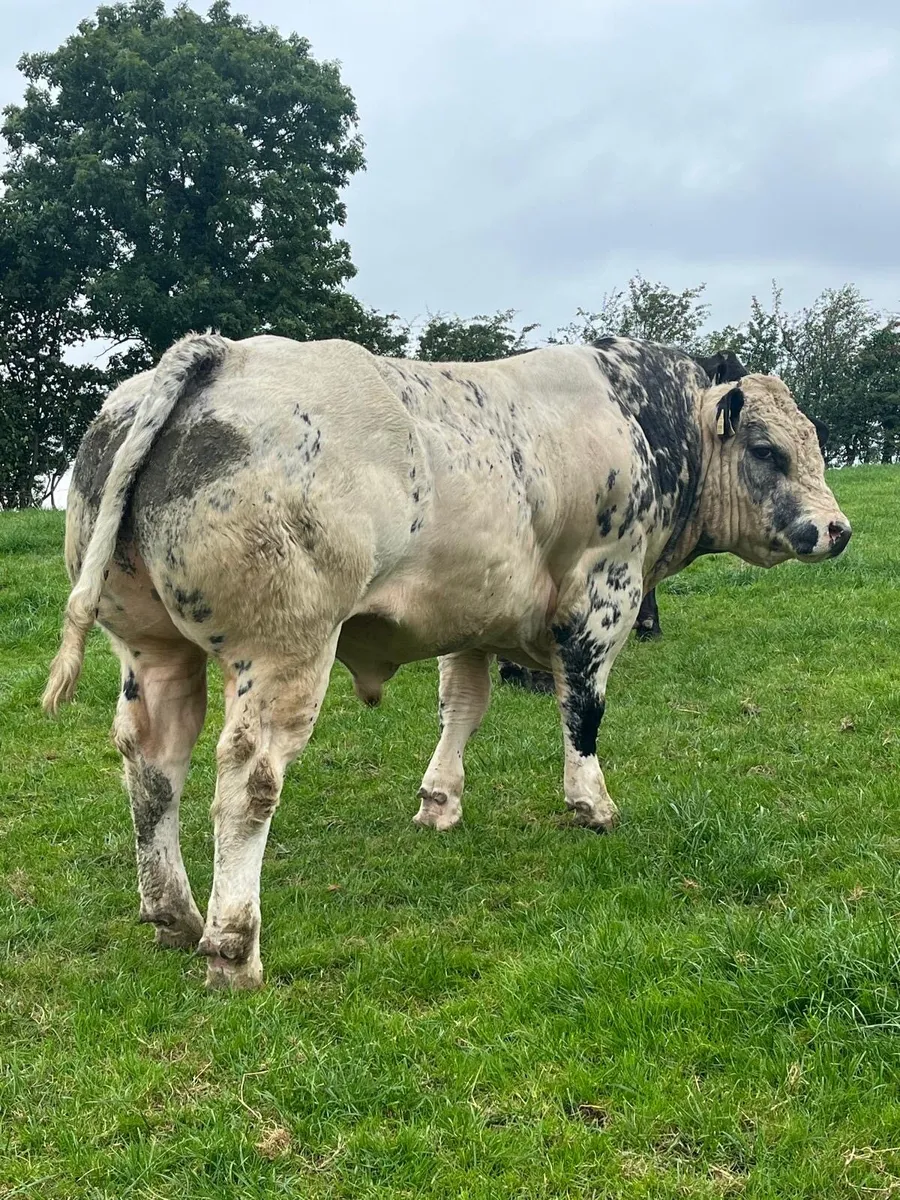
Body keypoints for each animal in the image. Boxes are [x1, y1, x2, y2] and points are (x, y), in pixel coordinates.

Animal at [43, 332, 851, 990]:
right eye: (767, 450)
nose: (837, 528)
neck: (646, 423)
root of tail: (221, 353)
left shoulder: (471, 611)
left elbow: (463, 706)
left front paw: (440, 801)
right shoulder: (605, 590)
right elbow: (584, 706)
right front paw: (591, 803)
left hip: (152, 650)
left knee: (152, 766)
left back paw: (174, 915)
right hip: (284, 649)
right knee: (248, 780)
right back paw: (232, 948)